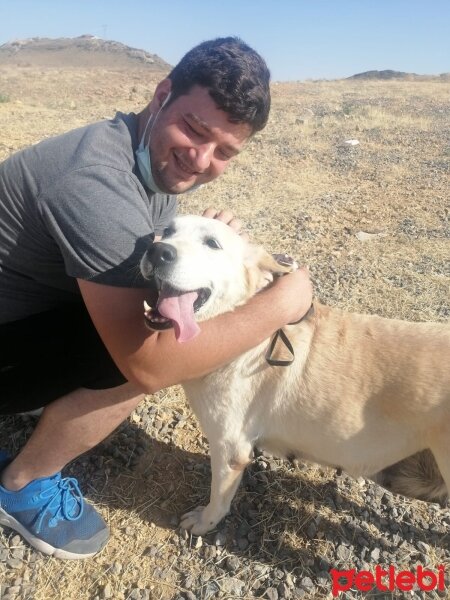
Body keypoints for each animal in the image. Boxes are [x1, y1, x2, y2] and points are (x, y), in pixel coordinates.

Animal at [141, 216, 450, 536]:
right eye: (168, 231)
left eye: (212, 243)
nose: (157, 251)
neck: (253, 340)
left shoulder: (230, 448)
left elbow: (218, 500)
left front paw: (203, 522)